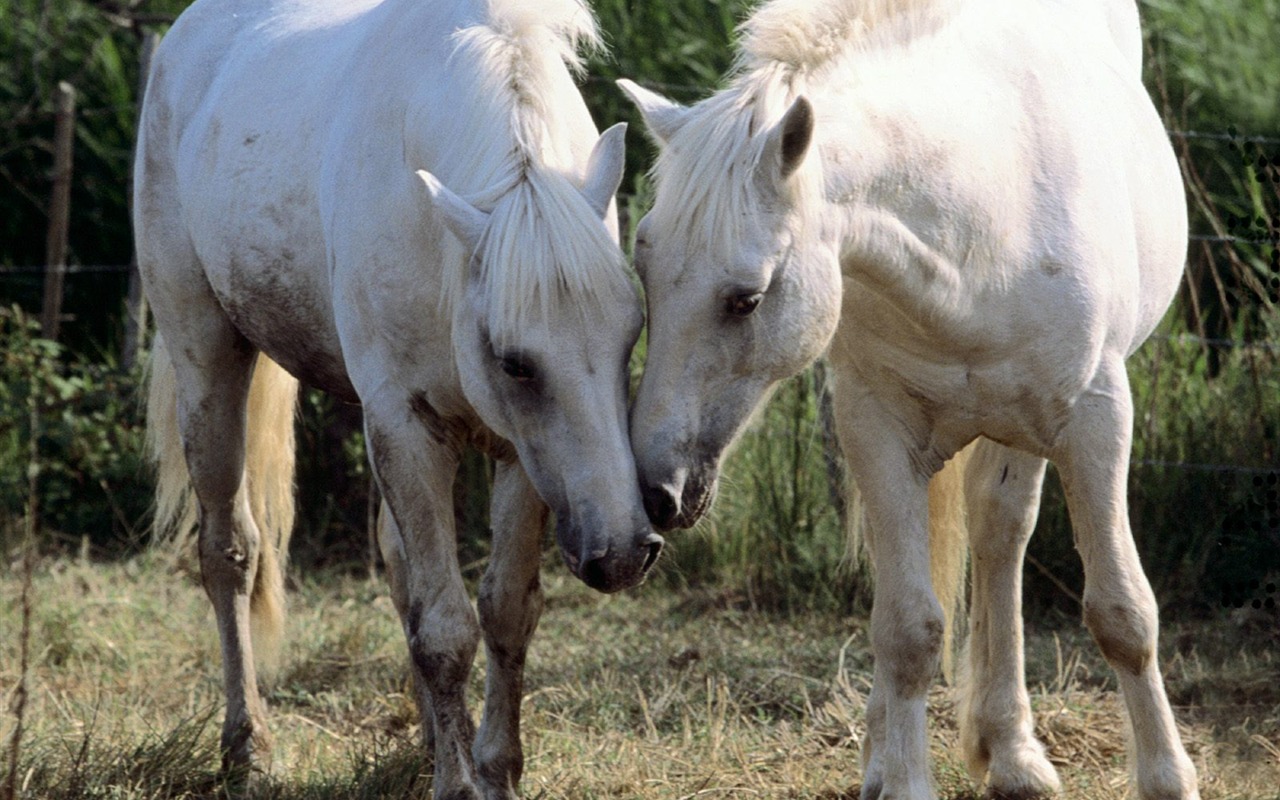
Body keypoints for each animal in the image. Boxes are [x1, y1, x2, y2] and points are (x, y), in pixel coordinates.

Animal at [136, 0, 665, 793]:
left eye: (632, 333)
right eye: (515, 363)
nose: (627, 552)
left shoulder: (522, 455)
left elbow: (502, 610)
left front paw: (495, 770)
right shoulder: (408, 426)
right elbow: (444, 628)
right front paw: (460, 785)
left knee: (398, 565)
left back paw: (426, 743)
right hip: (207, 359)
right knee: (230, 552)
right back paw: (247, 747)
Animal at [624, 1, 1192, 798]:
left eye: (746, 299)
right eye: (642, 271)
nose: (656, 490)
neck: (979, 223)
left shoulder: (1097, 419)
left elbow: (1122, 613)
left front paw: (1168, 777)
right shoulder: (876, 426)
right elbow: (907, 629)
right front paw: (900, 770)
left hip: (1026, 429)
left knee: (1000, 535)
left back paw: (1013, 754)